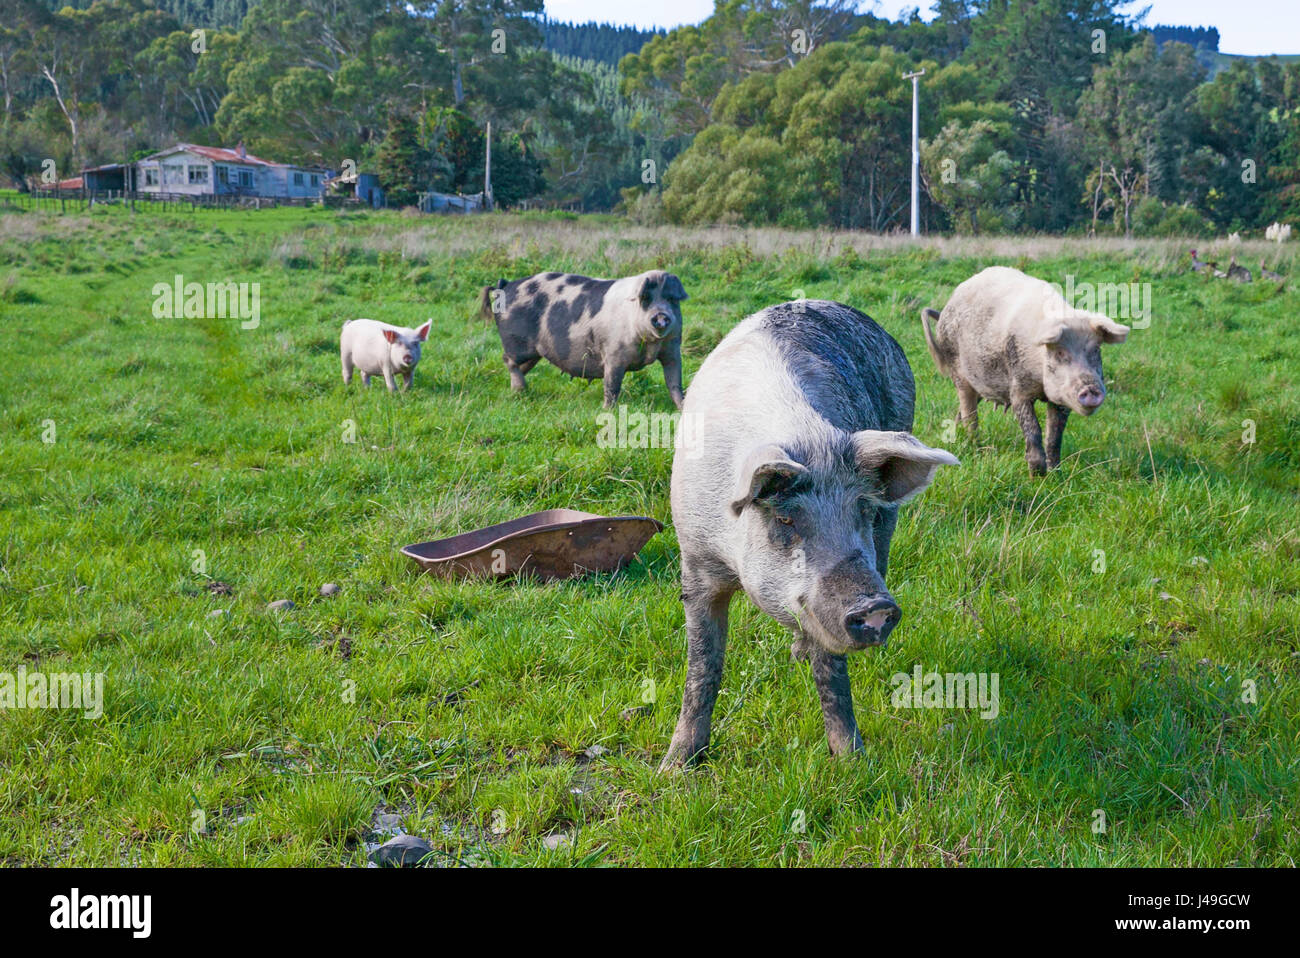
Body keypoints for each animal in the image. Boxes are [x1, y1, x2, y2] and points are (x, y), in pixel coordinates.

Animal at [473, 269, 686, 408]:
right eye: (646, 298)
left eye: (672, 300)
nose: (661, 316)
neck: (651, 345)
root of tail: (506, 285)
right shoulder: (613, 354)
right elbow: (612, 386)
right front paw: (608, 411)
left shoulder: (673, 350)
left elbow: (674, 383)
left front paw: (682, 407)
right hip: (516, 343)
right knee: (508, 360)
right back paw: (519, 390)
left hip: (534, 353)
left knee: (519, 367)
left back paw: (519, 391)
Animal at [660, 298, 956, 769]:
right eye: (786, 520)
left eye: (862, 510)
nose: (873, 607)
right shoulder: (696, 560)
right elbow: (703, 666)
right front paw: (674, 767)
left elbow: (831, 671)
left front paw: (853, 762)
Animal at [925, 265, 1128, 475]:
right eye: (1060, 352)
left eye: (1095, 350)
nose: (1090, 388)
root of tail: (945, 309)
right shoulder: (1018, 389)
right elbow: (1033, 430)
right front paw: (1036, 474)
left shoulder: (1061, 399)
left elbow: (1054, 436)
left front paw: (1056, 473)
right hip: (957, 370)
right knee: (969, 413)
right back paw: (976, 448)